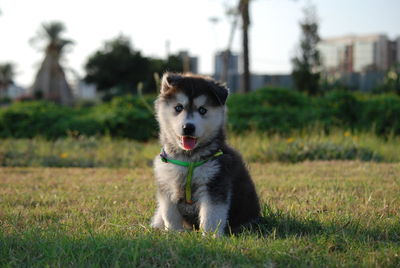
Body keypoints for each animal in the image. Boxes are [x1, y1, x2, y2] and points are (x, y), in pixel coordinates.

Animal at [150, 73, 260, 234]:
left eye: (202, 110)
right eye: (178, 107)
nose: (188, 127)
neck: (188, 159)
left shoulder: (215, 183)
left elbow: (210, 215)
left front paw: (210, 236)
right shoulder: (167, 184)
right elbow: (170, 214)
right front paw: (174, 233)